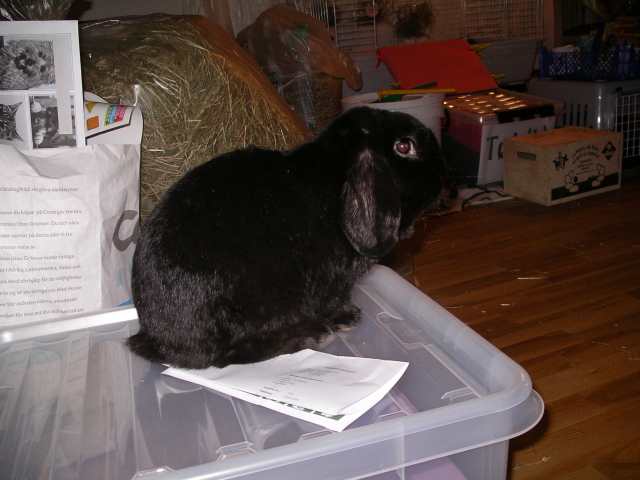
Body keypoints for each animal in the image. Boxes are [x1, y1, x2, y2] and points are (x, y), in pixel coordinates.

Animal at [127, 106, 446, 369]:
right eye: (404, 146)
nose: (443, 168)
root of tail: (160, 339)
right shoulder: (334, 283)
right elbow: (335, 302)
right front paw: (349, 318)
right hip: (262, 307)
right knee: (228, 356)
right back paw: (313, 335)